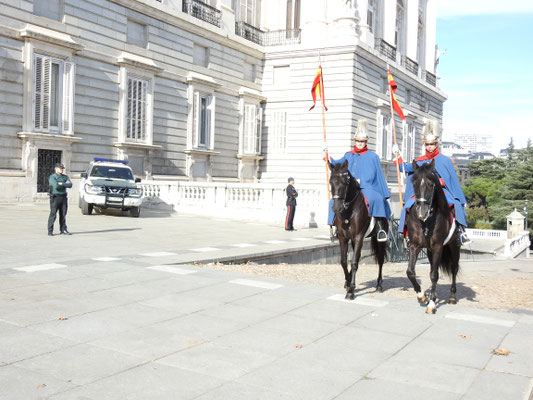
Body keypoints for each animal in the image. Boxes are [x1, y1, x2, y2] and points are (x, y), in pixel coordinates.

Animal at [328, 161, 386, 298]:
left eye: (345, 182)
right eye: (331, 182)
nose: (336, 208)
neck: (348, 211)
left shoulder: (359, 236)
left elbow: (354, 262)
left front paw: (351, 291)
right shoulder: (343, 238)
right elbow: (344, 261)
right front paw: (348, 282)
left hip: (379, 240)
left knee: (380, 260)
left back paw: (379, 285)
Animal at [406, 159, 460, 312]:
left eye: (431, 184)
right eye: (414, 182)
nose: (421, 212)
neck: (426, 221)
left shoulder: (437, 247)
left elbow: (434, 275)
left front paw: (431, 303)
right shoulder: (415, 245)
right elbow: (410, 272)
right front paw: (422, 295)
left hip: (454, 246)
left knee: (454, 268)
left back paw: (452, 296)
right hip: (430, 251)